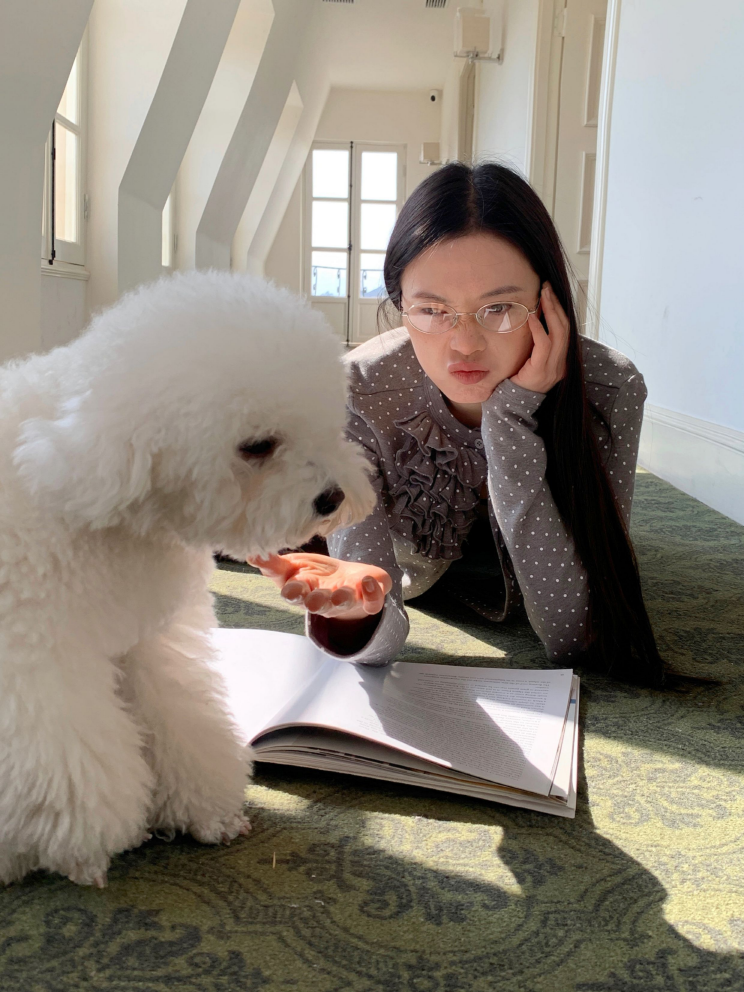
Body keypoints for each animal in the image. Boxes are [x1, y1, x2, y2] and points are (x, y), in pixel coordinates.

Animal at [0, 270, 375, 886]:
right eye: (257, 445)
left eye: (327, 425)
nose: (332, 498)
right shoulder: (36, 661)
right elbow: (67, 757)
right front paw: (82, 846)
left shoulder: (145, 641)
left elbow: (178, 718)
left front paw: (204, 811)